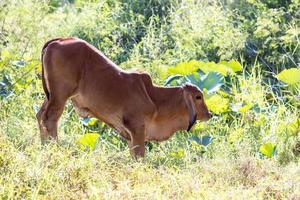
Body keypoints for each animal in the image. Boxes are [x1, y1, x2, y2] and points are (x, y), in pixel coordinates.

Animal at [36, 37, 212, 156]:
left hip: (50, 96)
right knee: (50, 118)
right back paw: (53, 147)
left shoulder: (130, 136)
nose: (209, 114)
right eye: (198, 97)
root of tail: (57, 41)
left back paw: (44, 145)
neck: (155, 100)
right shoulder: (137, 128)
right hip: (60, 96)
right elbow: (140, 156)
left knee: (40, 115)